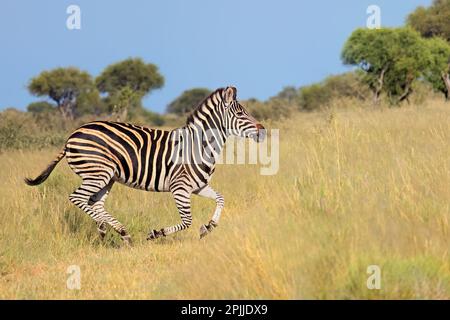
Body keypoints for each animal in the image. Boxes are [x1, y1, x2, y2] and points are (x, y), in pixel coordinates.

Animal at [25, 86, 264, 244]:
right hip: (98, 172)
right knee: (78, 198)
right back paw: (107, 227)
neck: (200, 144)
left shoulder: (198, 186)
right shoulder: (179, 188)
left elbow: (221, 199)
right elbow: (187, 220)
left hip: (106, 177)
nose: (262, 131)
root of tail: (71, 136)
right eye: (240, 113)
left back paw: (117, 231)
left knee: (95, 203)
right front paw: (156, 233)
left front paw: (209, 227)